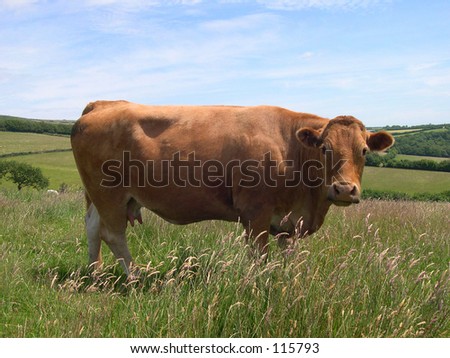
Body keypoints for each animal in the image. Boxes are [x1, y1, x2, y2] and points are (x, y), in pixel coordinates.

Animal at [70, 100, 394, 276]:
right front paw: (263, 283)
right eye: (325, 149)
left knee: (92, 227)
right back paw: (136, 276)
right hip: (108, 194)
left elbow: (287, 254)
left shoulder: (289, 220)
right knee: (113, 234)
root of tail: (103, 104)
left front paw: (287, 280)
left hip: (99, 196)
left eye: (364, 150)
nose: (344, 189)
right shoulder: (256, 213)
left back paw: (96, 275)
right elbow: (260, 257)